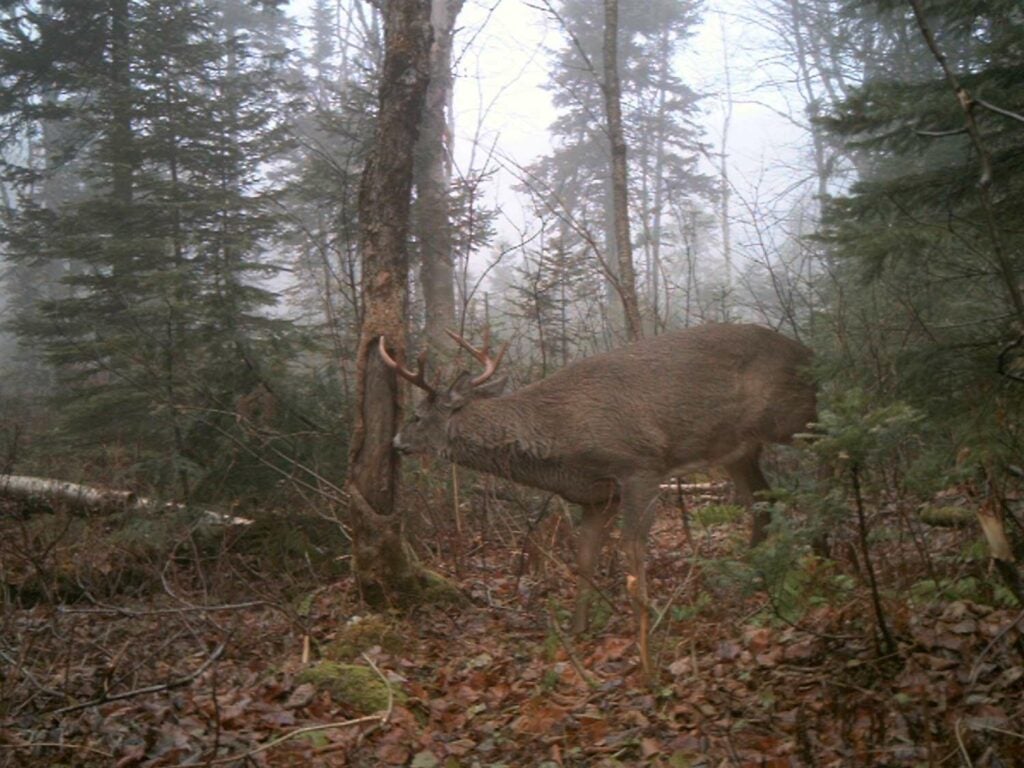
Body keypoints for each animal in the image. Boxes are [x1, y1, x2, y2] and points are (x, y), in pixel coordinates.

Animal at [376, 321, 815, 675]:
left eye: (416, 417)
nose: (395, 443)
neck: (558, 435)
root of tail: (806, 351)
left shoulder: (640, 466)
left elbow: (633, 551)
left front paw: (645, 649)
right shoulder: (597, 496)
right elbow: (585, 558)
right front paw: (576, 632)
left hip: (794, 418)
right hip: (740, 450)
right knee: (764, 502)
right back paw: (748, 577)